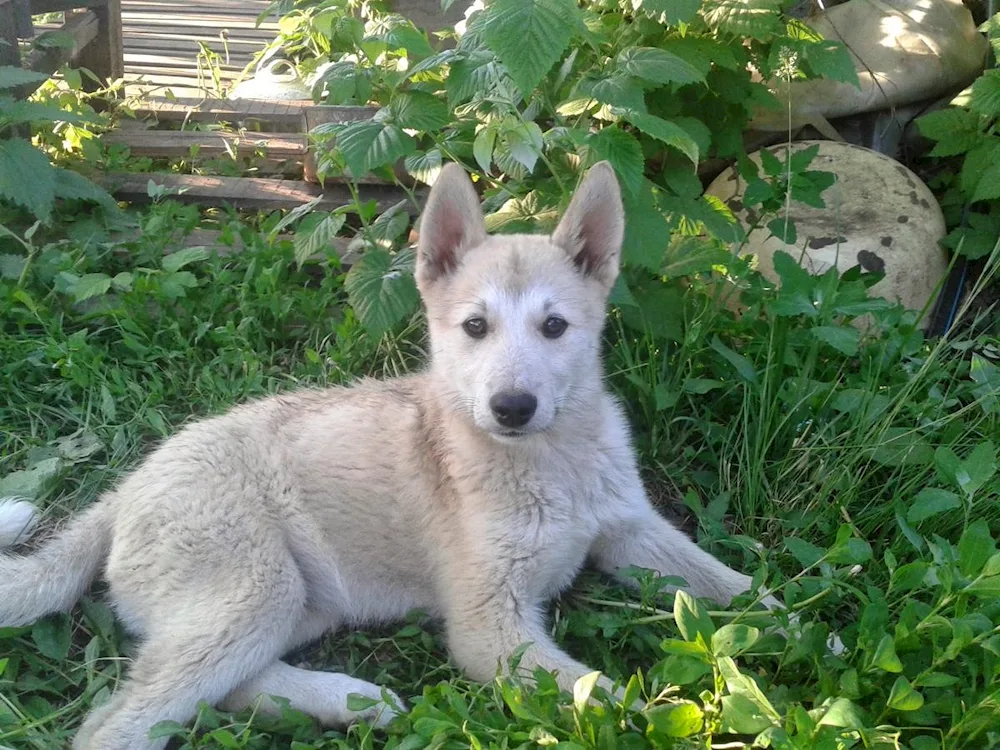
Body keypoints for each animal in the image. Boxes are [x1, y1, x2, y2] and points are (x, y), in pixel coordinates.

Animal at [0, 162, 772, 748]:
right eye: (474, 327)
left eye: (554, 327)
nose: (511, 407)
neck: (553, 465)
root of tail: (127, 488)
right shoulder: (490, 630)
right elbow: (610, 697)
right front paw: (712, 717)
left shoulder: (631, 530)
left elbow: (736, 587)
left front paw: (795, 622)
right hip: (256, 587)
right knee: (117, 722)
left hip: (298, 600)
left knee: (229, 688)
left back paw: (348, 701)